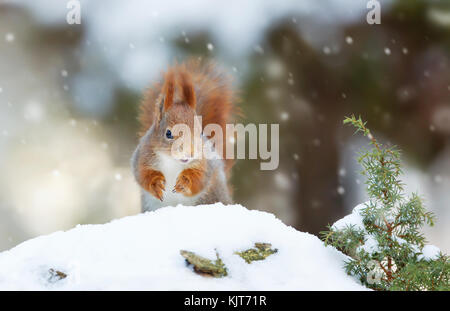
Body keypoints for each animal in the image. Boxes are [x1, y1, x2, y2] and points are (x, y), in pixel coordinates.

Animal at [132, 60, 237, 212]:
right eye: (168, 133)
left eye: (200, 132)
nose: (190, 153)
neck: (172, 161)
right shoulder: (143, 155)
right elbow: (142, 174)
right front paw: (157, 184)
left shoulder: (205, 162)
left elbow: (199, 178)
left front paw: (184, 183)